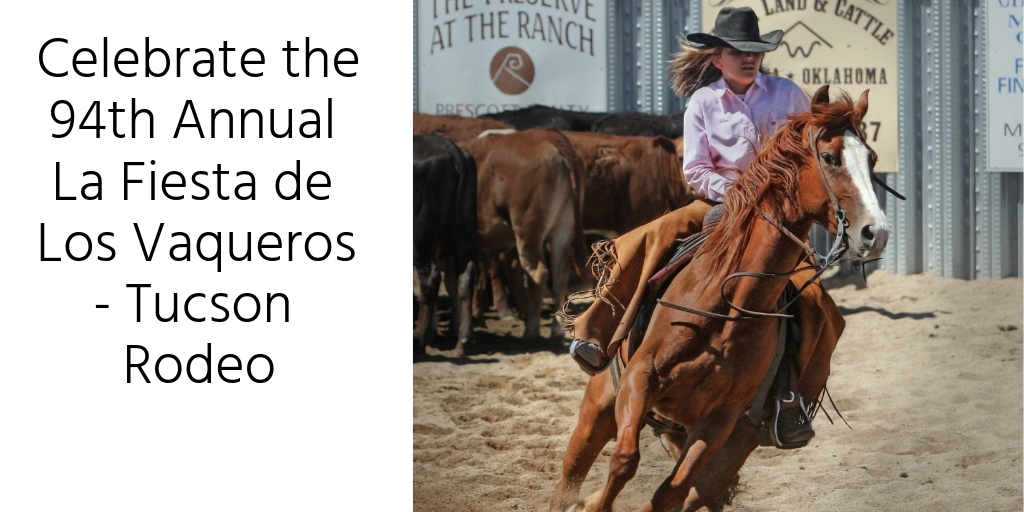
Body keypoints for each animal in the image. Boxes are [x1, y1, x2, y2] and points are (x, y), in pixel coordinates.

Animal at [413, 134, 477, 356]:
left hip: (420, 238)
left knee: (429, 280)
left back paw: (419, 339)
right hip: (460, 233)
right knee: (465, 276)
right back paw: (463, 340)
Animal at [462, 128, 589, 342]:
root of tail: (544, 134)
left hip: (527, 228)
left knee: (538, 272)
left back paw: (531, 332)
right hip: (563, 227)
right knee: (560, 273)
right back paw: (556, 330)